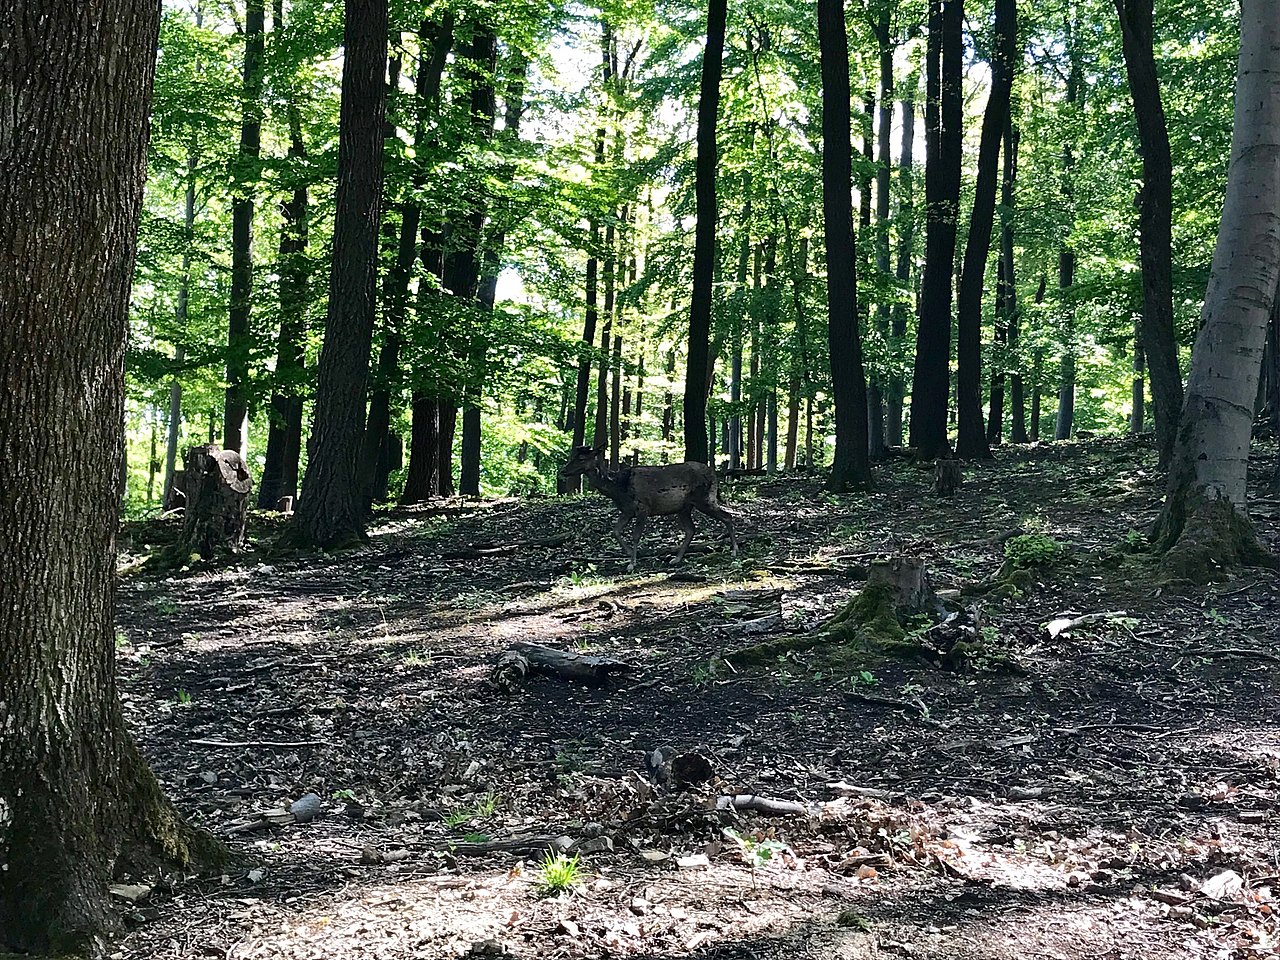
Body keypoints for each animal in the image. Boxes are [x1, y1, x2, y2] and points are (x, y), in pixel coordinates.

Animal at [559, 445, 739, 572]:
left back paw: (734, 551)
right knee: (690, 529)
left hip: (705, 499)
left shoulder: (642, 507)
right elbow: (615, 531)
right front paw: (629, 555)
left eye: (581, 458)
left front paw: (632, 563)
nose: (563, 471)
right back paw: (676, 559)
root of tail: (714, 474)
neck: (619, 488)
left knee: (727, 516)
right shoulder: (627, 510)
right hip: (684, 508)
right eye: (573, 456)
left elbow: (636, 535)